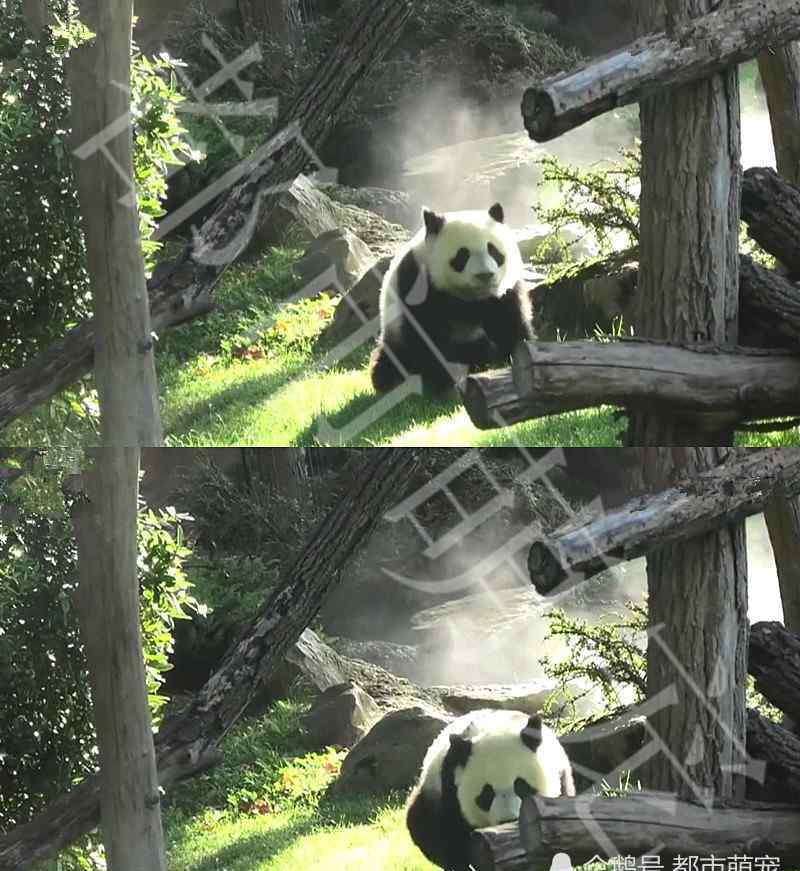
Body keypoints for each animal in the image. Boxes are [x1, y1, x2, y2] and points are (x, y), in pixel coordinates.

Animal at [370, 201, 536, 396]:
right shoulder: (418, 284)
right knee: (391, 362)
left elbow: (508, 321)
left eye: (494, 251)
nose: (485, 275)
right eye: (463, 255)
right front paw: (443, 384)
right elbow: (428, 338)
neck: (471, 297)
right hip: (395, 336)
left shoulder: (503, 292)